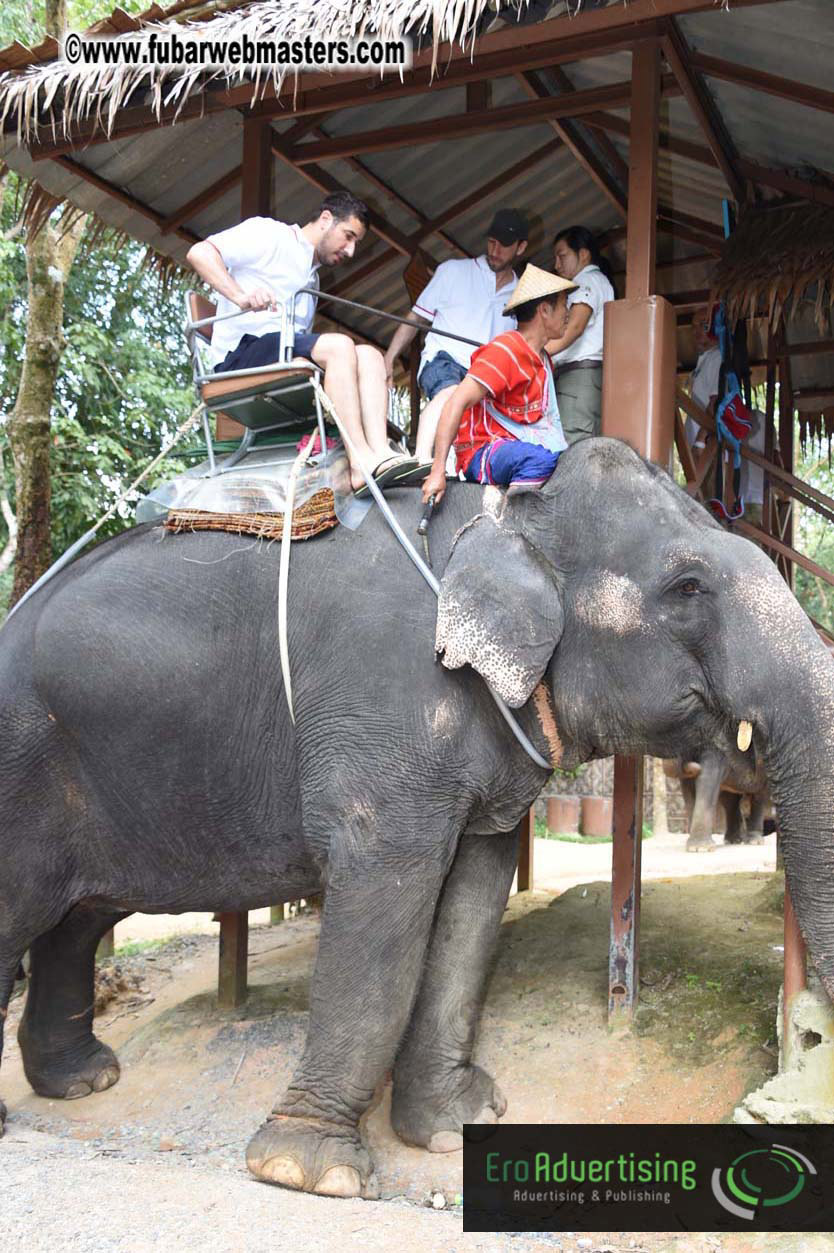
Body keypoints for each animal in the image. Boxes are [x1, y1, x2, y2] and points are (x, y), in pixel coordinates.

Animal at [1, 436, 833, 1200]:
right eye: (688, 585)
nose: (809, 1035)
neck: (494, 513)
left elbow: (471, 905)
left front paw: (455, 1125)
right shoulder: (387, 714)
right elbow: (386, 900)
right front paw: (310, 1172)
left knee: (76, 920)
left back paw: (84, 1081)